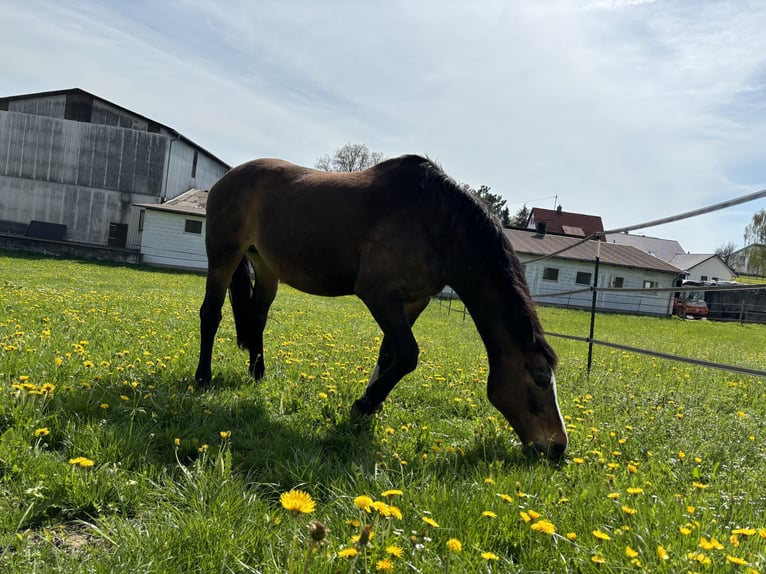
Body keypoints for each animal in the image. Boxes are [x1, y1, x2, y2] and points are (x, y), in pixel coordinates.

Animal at [195, 155, 568, 462]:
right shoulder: (378, 294)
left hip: (265, 265)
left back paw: (258, 374)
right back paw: (202, 379)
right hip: (224, 254)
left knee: (257, 318)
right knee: (210, 314)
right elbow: (408, 355)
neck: (436, 222)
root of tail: (229, 177)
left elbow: (390, 354)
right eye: (539, 379)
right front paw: (363, 405)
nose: (558, 447)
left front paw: (367, 407)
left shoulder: (413, 300)